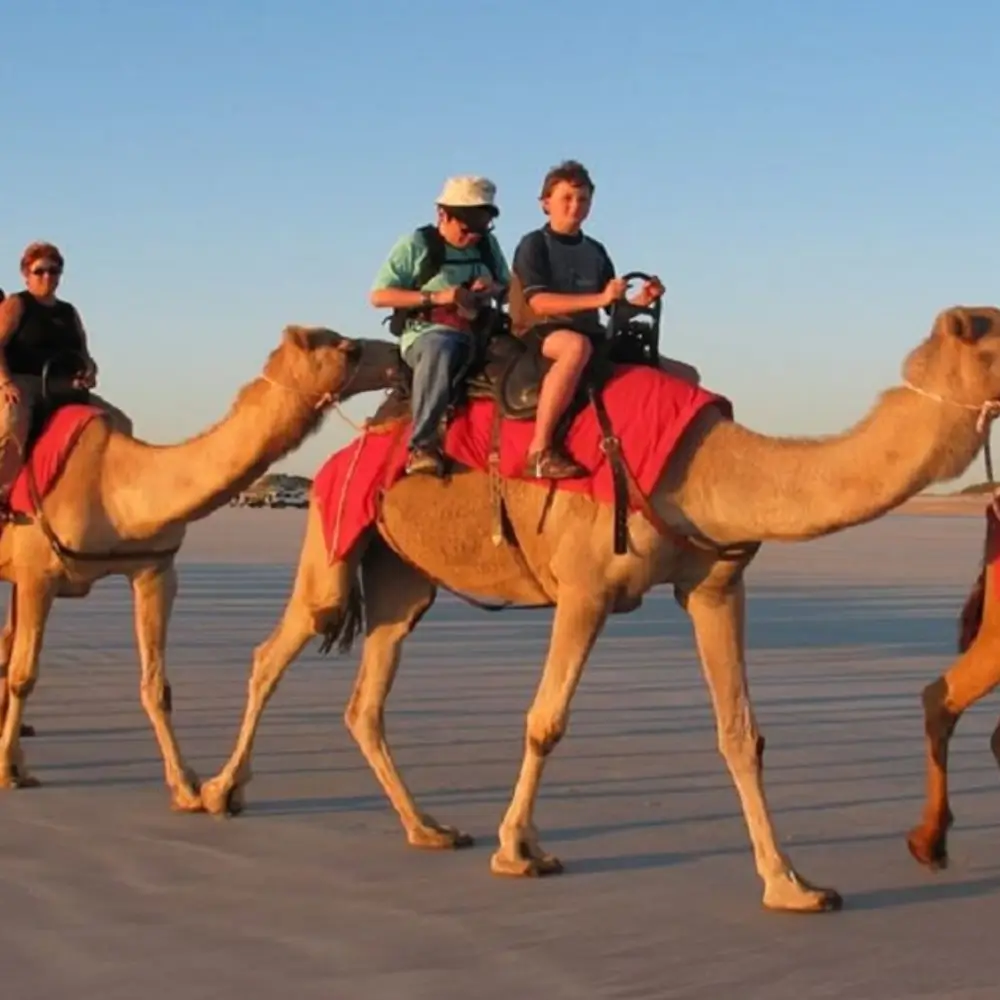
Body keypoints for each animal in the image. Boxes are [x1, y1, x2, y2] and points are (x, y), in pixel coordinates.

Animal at [0, 325, 398, 805]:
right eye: (348, 349)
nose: (397, 355)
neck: (113, 486)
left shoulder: (153, 571)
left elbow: (157, 687)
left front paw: (187, 787)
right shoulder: (36, 575)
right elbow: (23, 675)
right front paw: (8, 770)